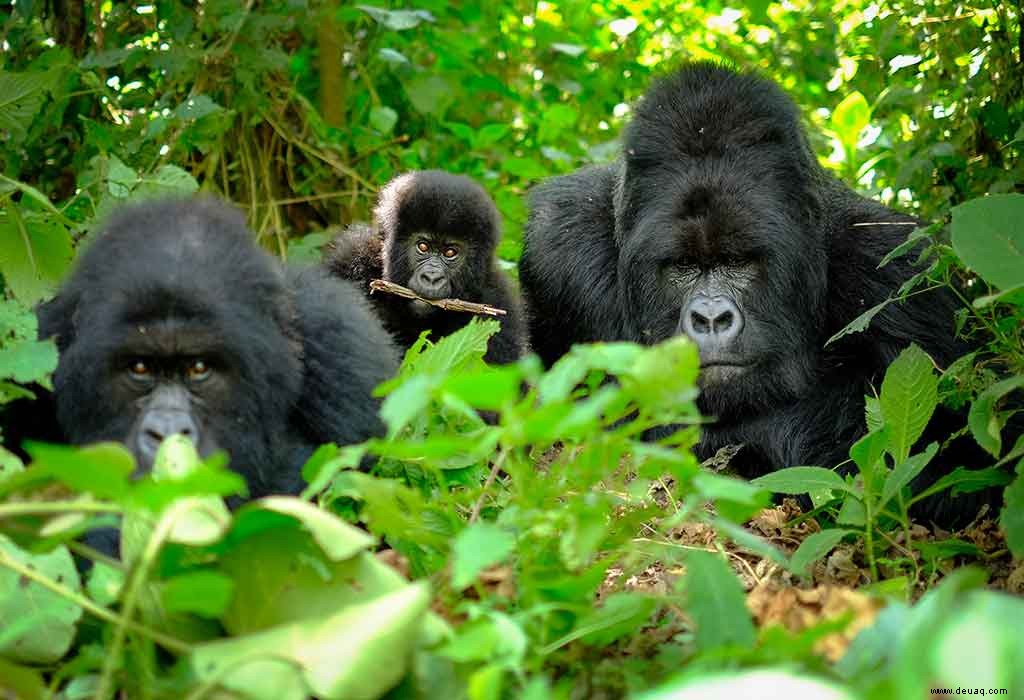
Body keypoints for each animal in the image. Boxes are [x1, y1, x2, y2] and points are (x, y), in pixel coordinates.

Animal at [520, 62, 983, 521]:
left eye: (738, 262)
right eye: (684, 267)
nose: (710, 319)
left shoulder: (903, 272)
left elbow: (947, 456)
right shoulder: (559, 246)